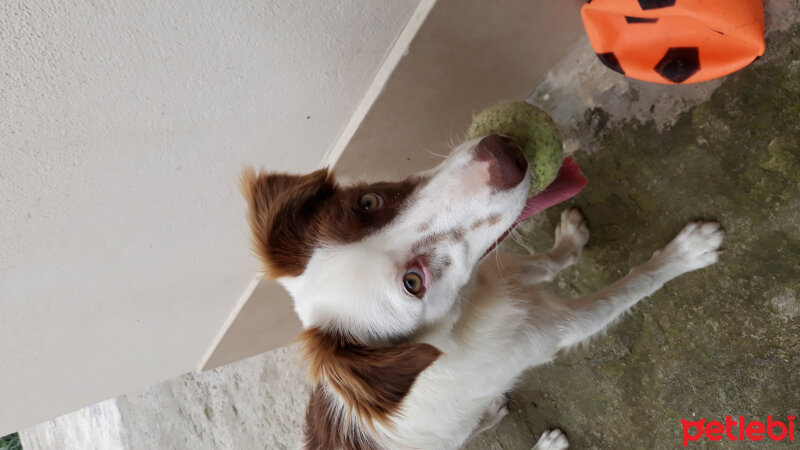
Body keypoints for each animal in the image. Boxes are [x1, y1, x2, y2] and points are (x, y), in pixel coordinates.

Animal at [241, 134, 720, 450]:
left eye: (369, 201)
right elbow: (631, 286)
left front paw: (570, 241)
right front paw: (684, 253)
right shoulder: (555, 331)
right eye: (413, 283)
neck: (464, 315)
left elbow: (545, 263)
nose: (502, 155)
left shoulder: (497, 279)